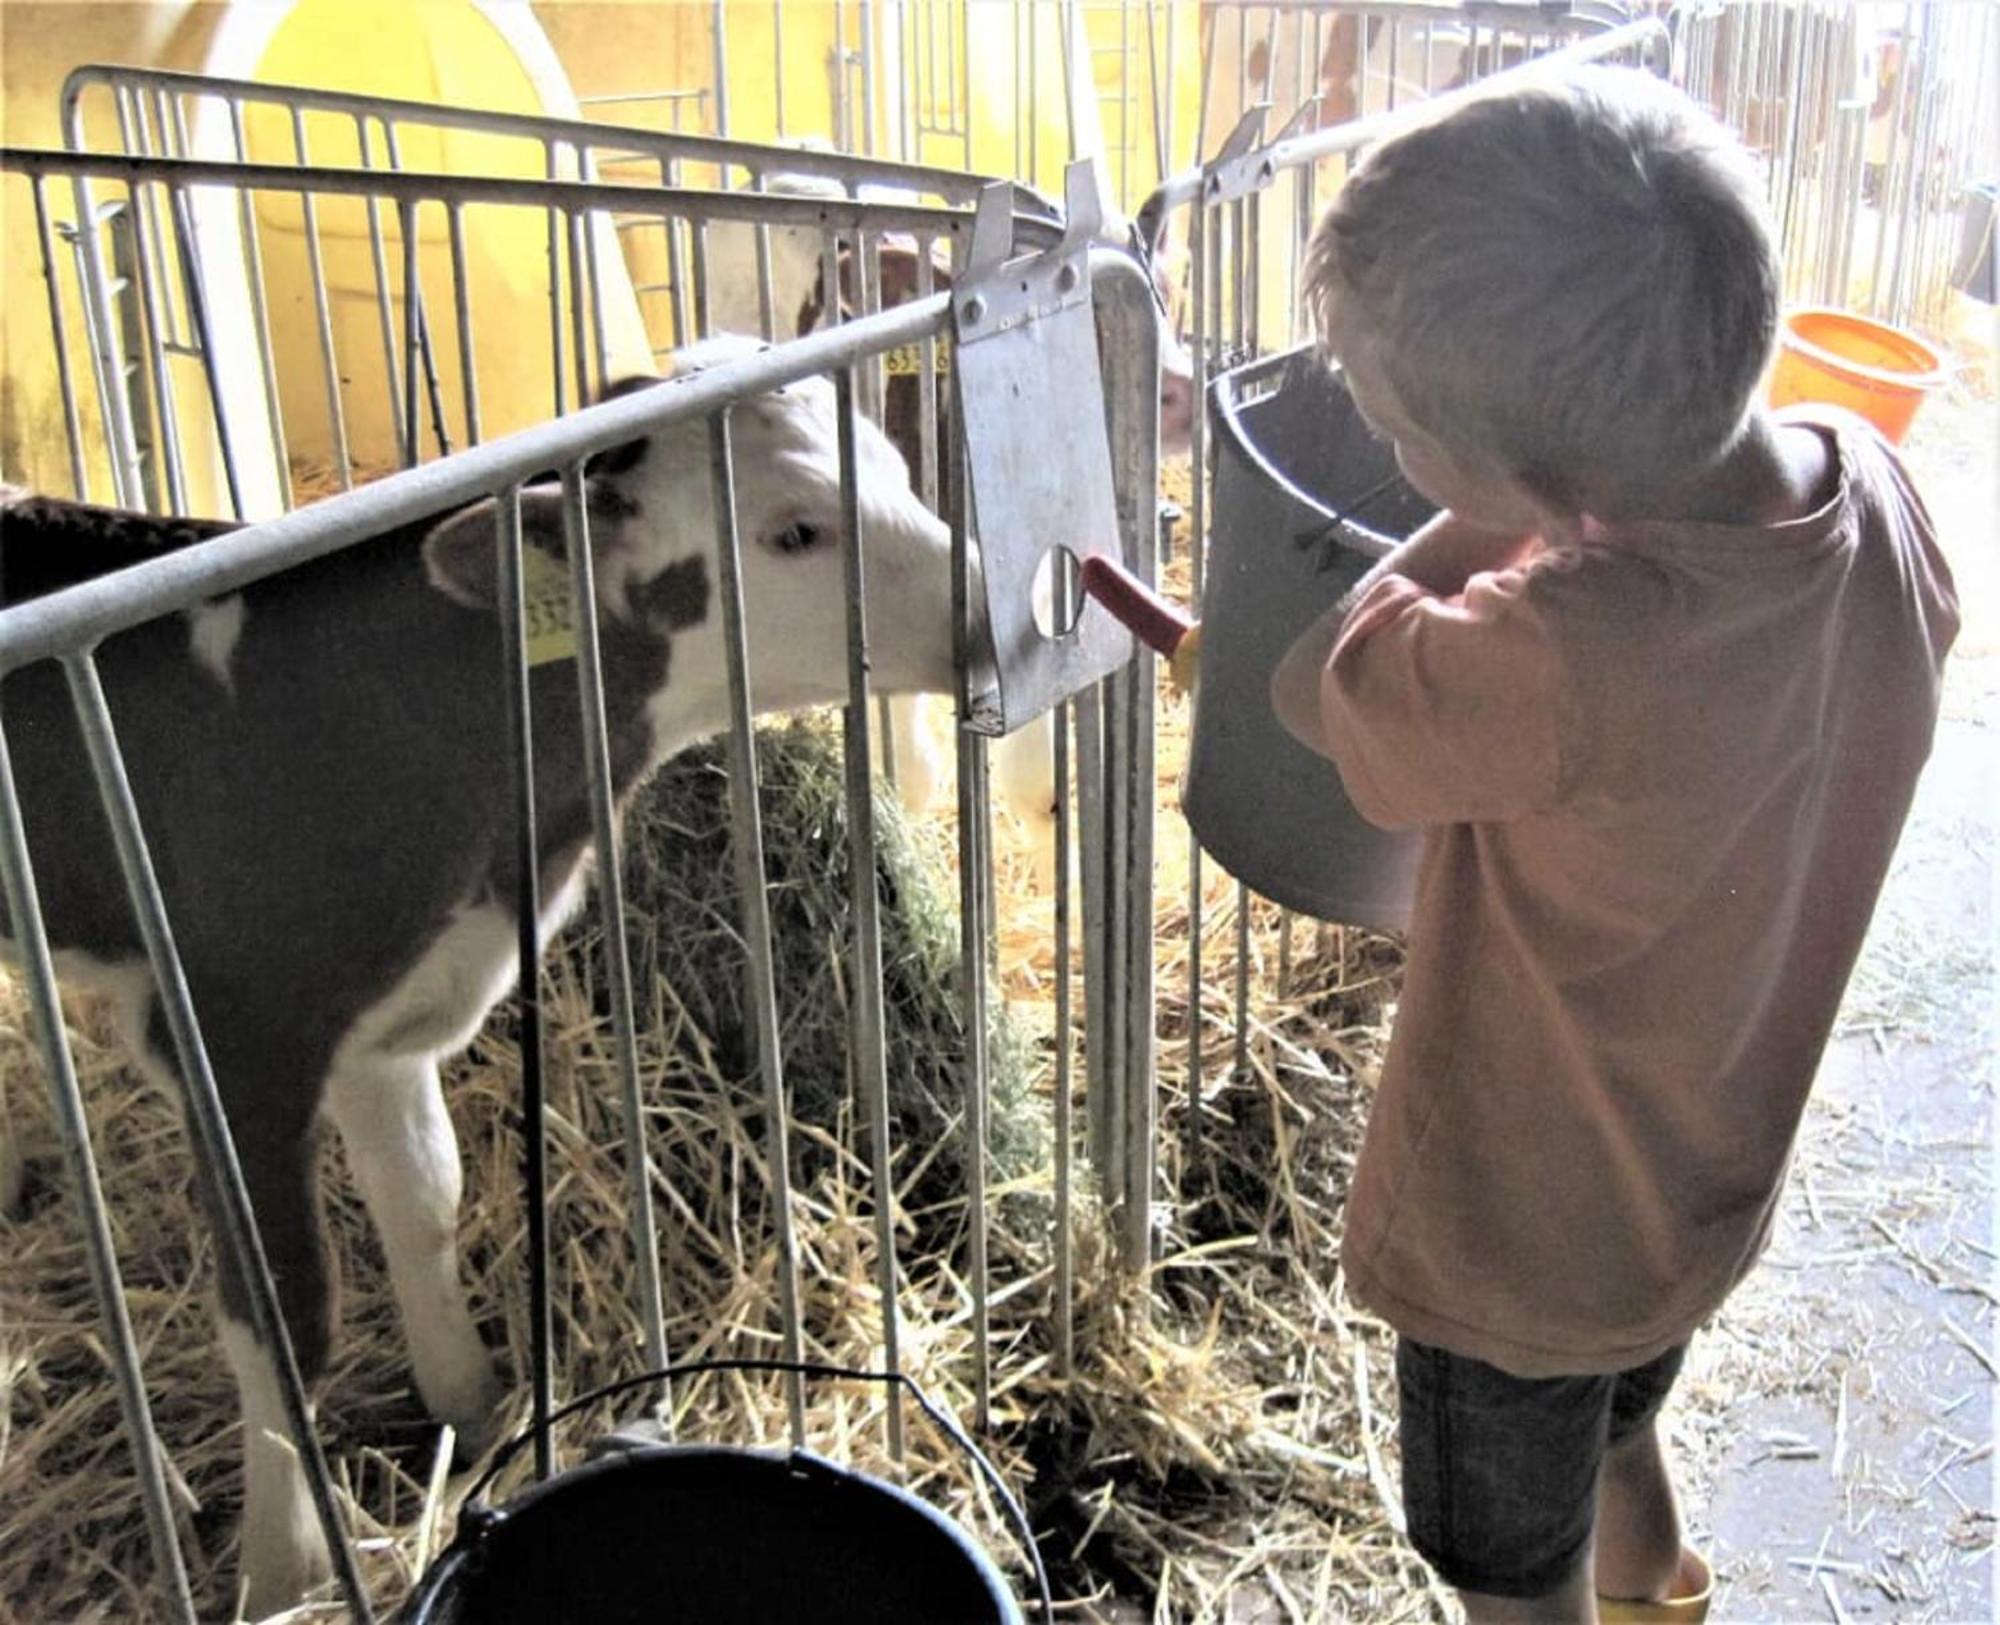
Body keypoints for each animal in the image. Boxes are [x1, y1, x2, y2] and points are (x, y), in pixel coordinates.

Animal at [0, 336, 964, 1616]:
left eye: (897, 466)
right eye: (793, 531)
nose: (1005, 597)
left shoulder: (397, 1016)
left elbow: (425, 1200)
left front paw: (468, 1400)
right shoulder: (232, 1041)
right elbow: (283, 1313)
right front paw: (281, 1567)